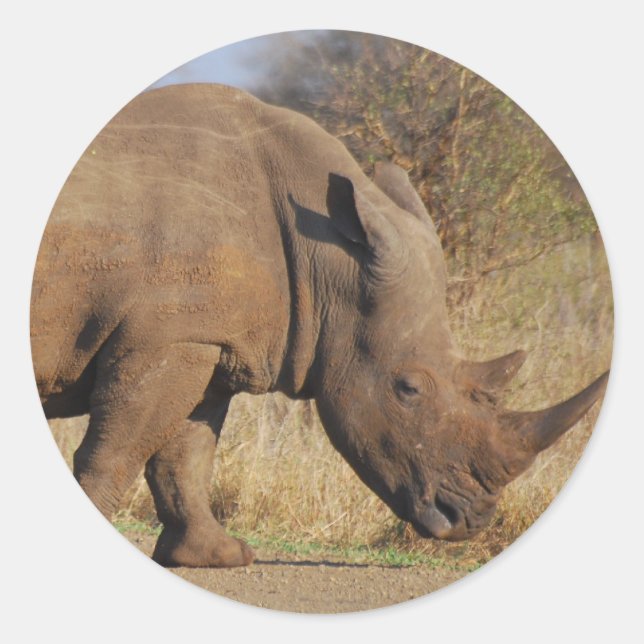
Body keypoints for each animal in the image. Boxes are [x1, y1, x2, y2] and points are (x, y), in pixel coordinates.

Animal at [31, 83, 608, 567]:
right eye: (408, 389)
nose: (468, 521)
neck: (329, 260)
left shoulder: (206, 337)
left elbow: (186, 456)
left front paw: (217, 557)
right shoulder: (169, 338)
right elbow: (118, 451)